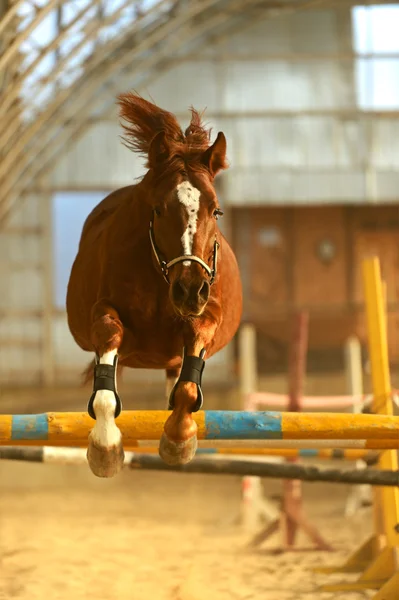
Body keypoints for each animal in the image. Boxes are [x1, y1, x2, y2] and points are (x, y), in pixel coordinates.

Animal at [66, 94, 244, 478]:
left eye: (216, 211)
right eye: (159, 209)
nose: (190, 289)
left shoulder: (208, 312)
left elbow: (188, 386)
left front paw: (178, 440)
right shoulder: (105, 314)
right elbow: (107, 358)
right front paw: (105, 447)